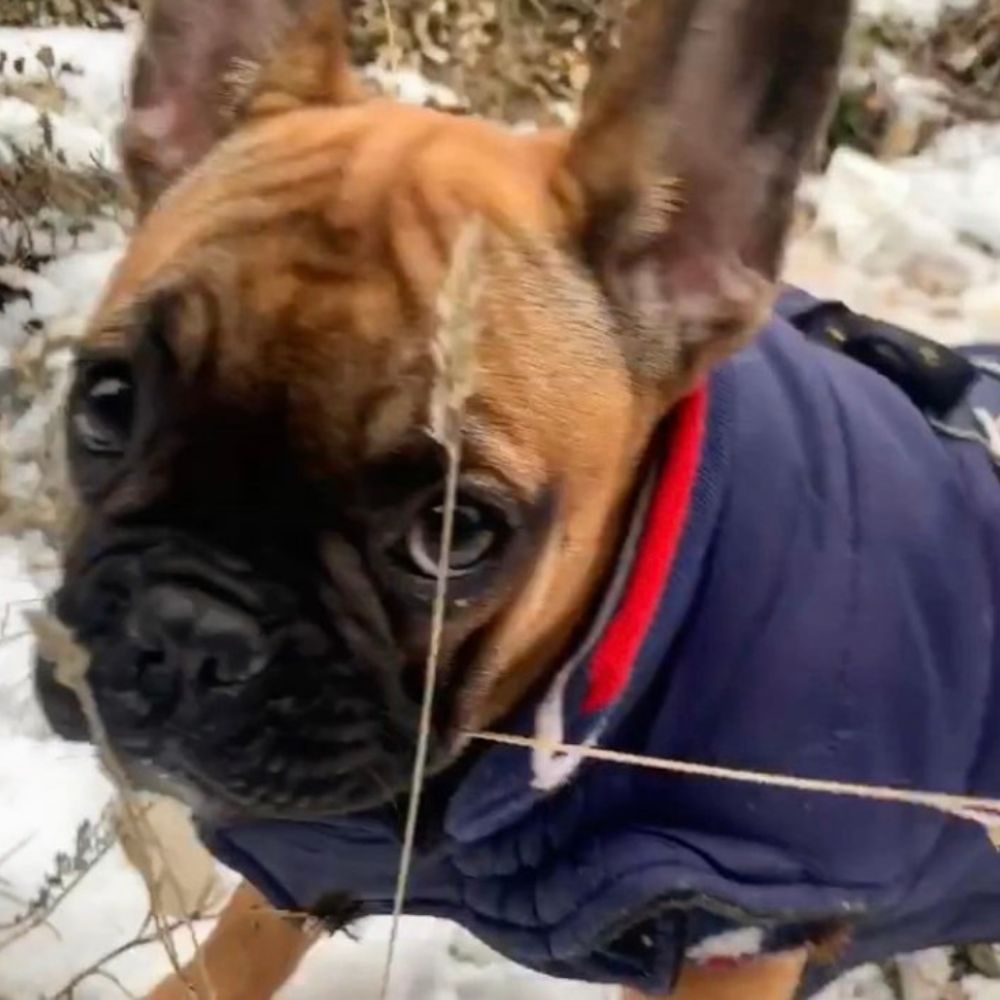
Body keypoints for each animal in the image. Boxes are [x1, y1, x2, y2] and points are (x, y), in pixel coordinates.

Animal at [33, 0, 1000, 996]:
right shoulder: (314, 850)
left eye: (455, 531)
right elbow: (238, 949)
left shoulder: (736, 937)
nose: (186, 626)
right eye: (107, 402)